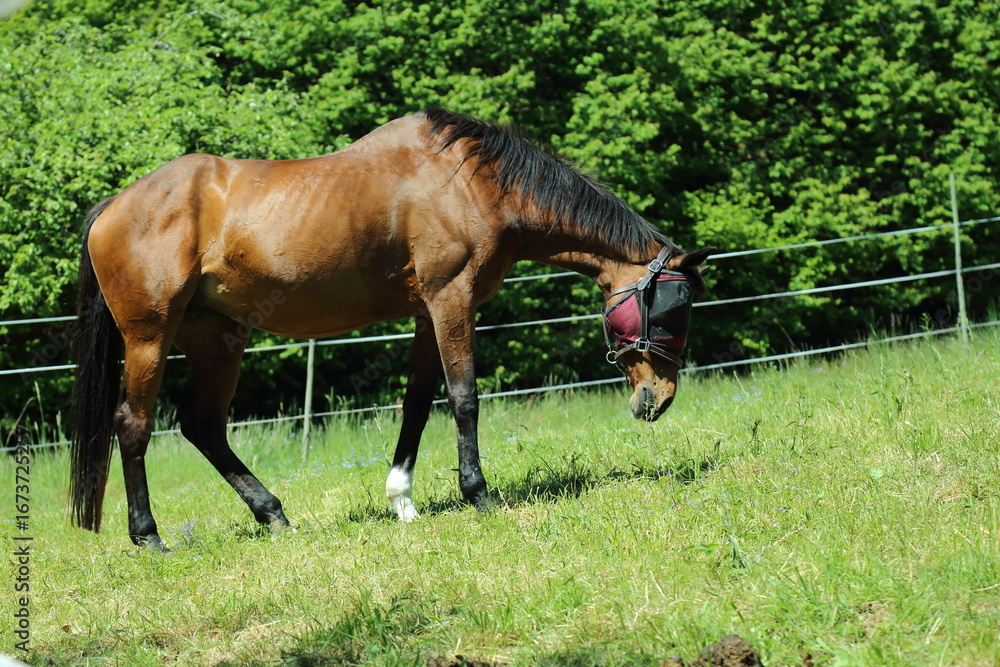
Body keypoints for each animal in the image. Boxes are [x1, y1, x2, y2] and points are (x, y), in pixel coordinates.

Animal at [70, 108, 714, 549]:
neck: (473, 182)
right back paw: (149, 535)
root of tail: (111, 208)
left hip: (217, 340)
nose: (659, 398)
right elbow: (463, 398)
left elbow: (417, 404)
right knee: (133, 425)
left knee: (203, 426)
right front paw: (479, 496)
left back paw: (274, 514)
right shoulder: (451, 299)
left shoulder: (428, 315)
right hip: (149, 338)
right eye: (672, 309)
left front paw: (401, 500)